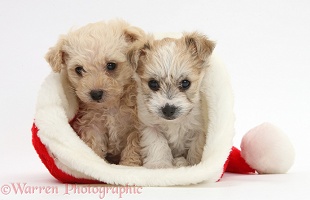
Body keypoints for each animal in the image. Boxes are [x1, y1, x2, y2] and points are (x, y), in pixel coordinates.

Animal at [44, 19, 145, 166]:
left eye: (111, 65)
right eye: (79, 69)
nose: (96, 94)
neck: (110, 106)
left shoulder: (136, 126)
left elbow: (133, 146)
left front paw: (129, 165)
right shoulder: (93, 125)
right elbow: (94, 146)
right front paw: (95, 164)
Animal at [128, 32, 216, 169]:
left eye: (185, 83)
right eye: (153, 84)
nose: (168, 109)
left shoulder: (199, 129)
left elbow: (195, 148)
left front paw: (192, 164)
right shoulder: (150, 127)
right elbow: (158, 145)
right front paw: (159, 164)